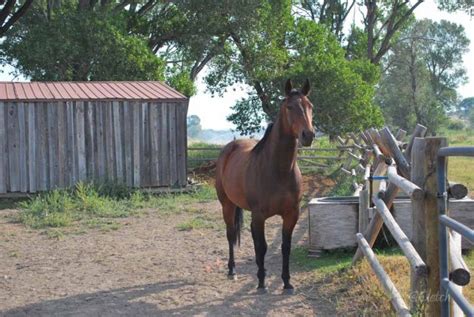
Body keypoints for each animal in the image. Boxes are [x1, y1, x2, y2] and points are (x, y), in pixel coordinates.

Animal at [215, 78, 314, 292]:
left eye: (310, 106)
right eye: (289, 107)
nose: (308, 135)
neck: (278, 171)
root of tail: (230, 147)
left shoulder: (291, 214)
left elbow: (285, 247)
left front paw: (287, 281)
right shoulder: (259, 215)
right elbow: (262, 246)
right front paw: (261, 282)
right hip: (227, 205)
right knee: (230, 234)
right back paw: (232, 270)